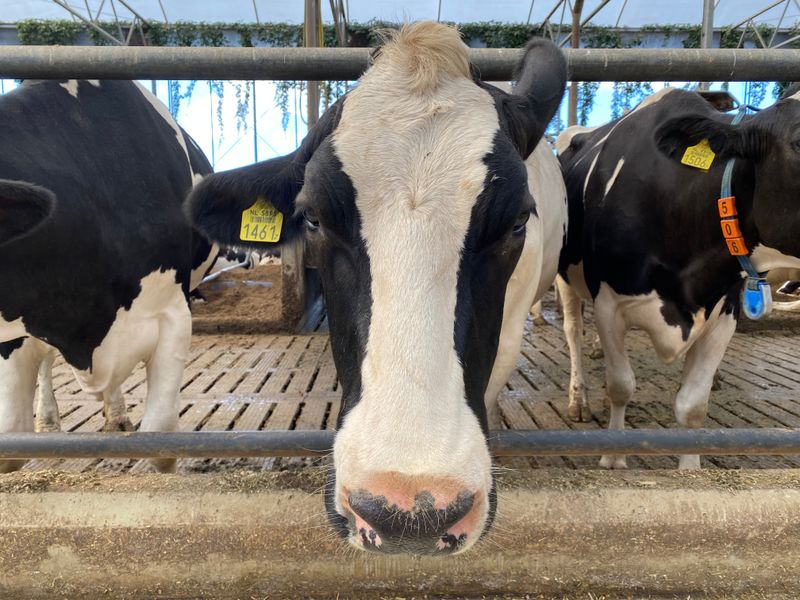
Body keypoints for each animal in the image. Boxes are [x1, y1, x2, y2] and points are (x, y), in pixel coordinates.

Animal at [557, 85, 800, 470]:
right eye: (799, 142)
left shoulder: (724, 312)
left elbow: (693, 405)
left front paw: (690, 468)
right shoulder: (610, 304)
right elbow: (621, 385)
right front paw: (613, 457)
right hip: (566, 279)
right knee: (573, 331)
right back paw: (578, 398)